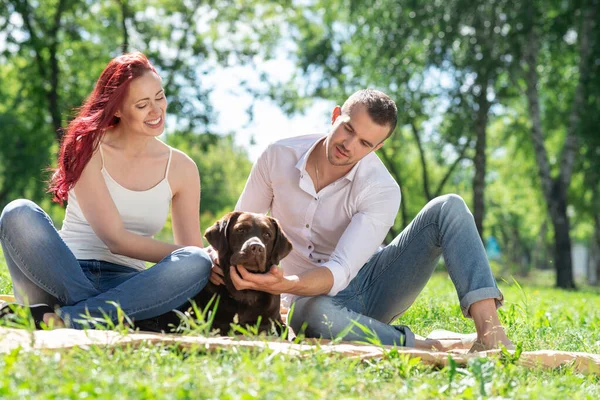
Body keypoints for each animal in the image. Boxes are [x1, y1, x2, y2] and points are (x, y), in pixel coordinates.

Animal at [137, 212, 296, 334]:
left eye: (268, 235)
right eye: (241, 230)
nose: (256, 247)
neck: (245, 294)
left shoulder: (274, 323)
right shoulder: (215, 323)